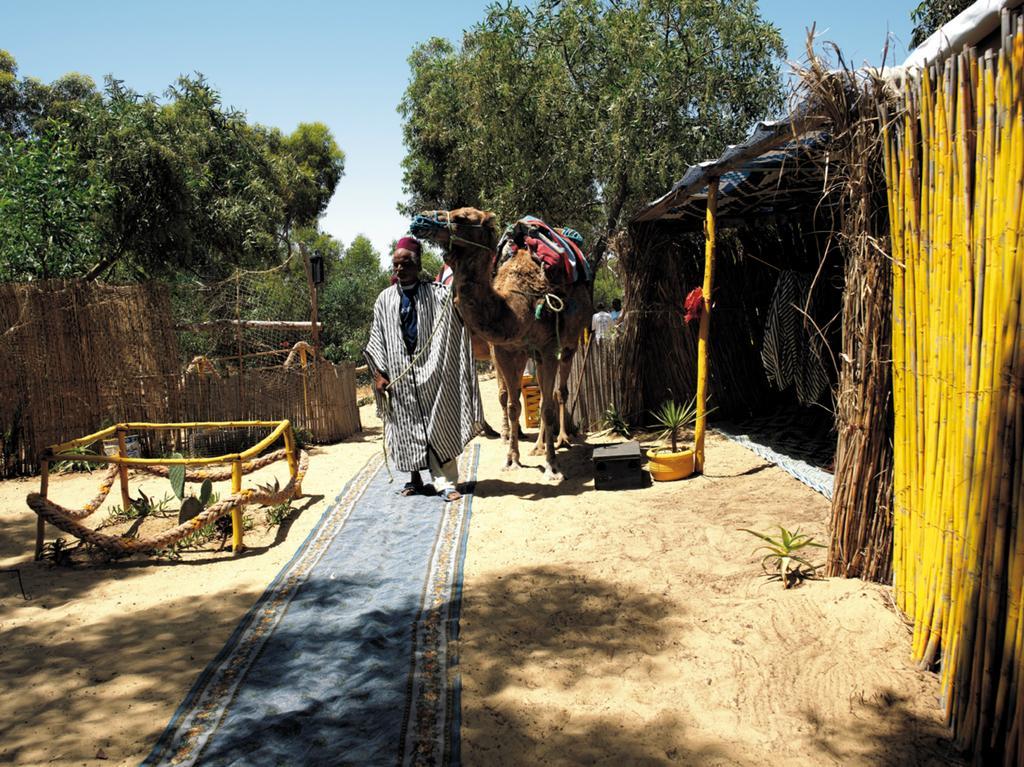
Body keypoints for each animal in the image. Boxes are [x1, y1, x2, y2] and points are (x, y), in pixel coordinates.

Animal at [411, 206, 593, 475]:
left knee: (560, 392)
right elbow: (512, 403)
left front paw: (552, 465)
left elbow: (544, 406)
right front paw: (512, 458)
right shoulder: (505, 349)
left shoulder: (548, 347)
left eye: (462, 217)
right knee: (539, 395)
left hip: (569, 343)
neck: (517, 307)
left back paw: (561, 439)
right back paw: (536, 445)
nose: (420, 219)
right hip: (529, 354)